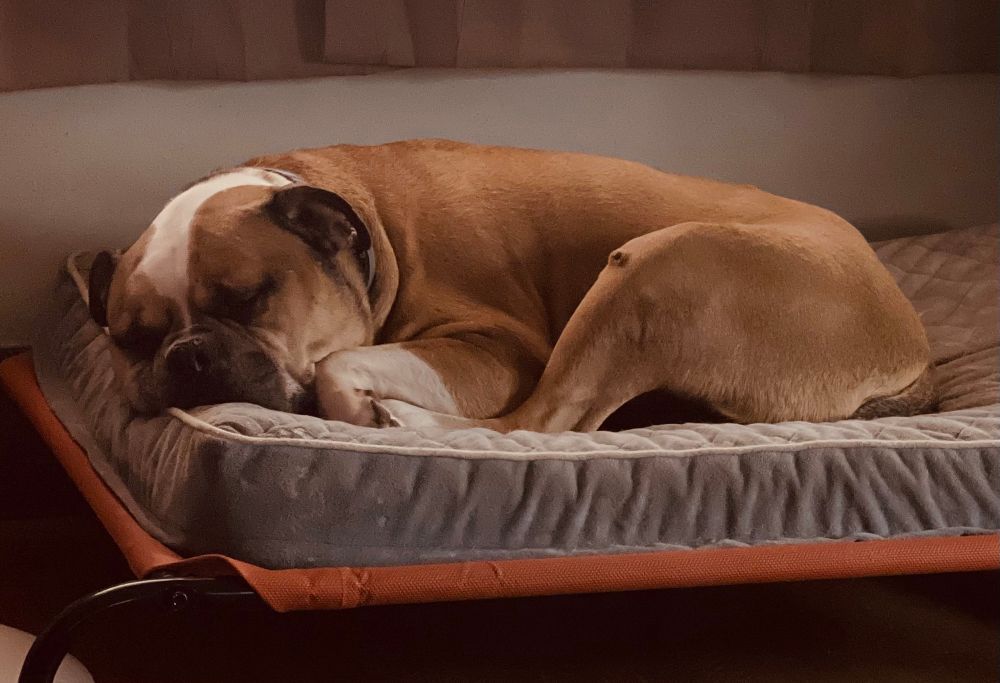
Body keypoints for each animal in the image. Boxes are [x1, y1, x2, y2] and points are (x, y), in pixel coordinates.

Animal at [88, 139, 934, 432]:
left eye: (248, 299)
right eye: (130, 340)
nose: (189, 355)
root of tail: (908, 339)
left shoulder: (495, 348)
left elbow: (335, 364)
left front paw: (359, 402)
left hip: (655, 263)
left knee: (541, 425)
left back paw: (409, 421)